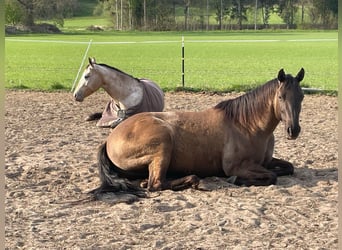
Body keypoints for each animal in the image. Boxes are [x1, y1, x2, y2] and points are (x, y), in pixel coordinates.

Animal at [91, 67, 304, 198]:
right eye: (281, 96)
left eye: (301, 96)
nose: (293, 130)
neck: (248, 125)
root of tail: (110, 139)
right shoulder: (236, 167)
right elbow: (271, 176)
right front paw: (238, 180)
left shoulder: (266, 161)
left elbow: (288, 167)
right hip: (163, 144)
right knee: (156, 184)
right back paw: (194, 181)